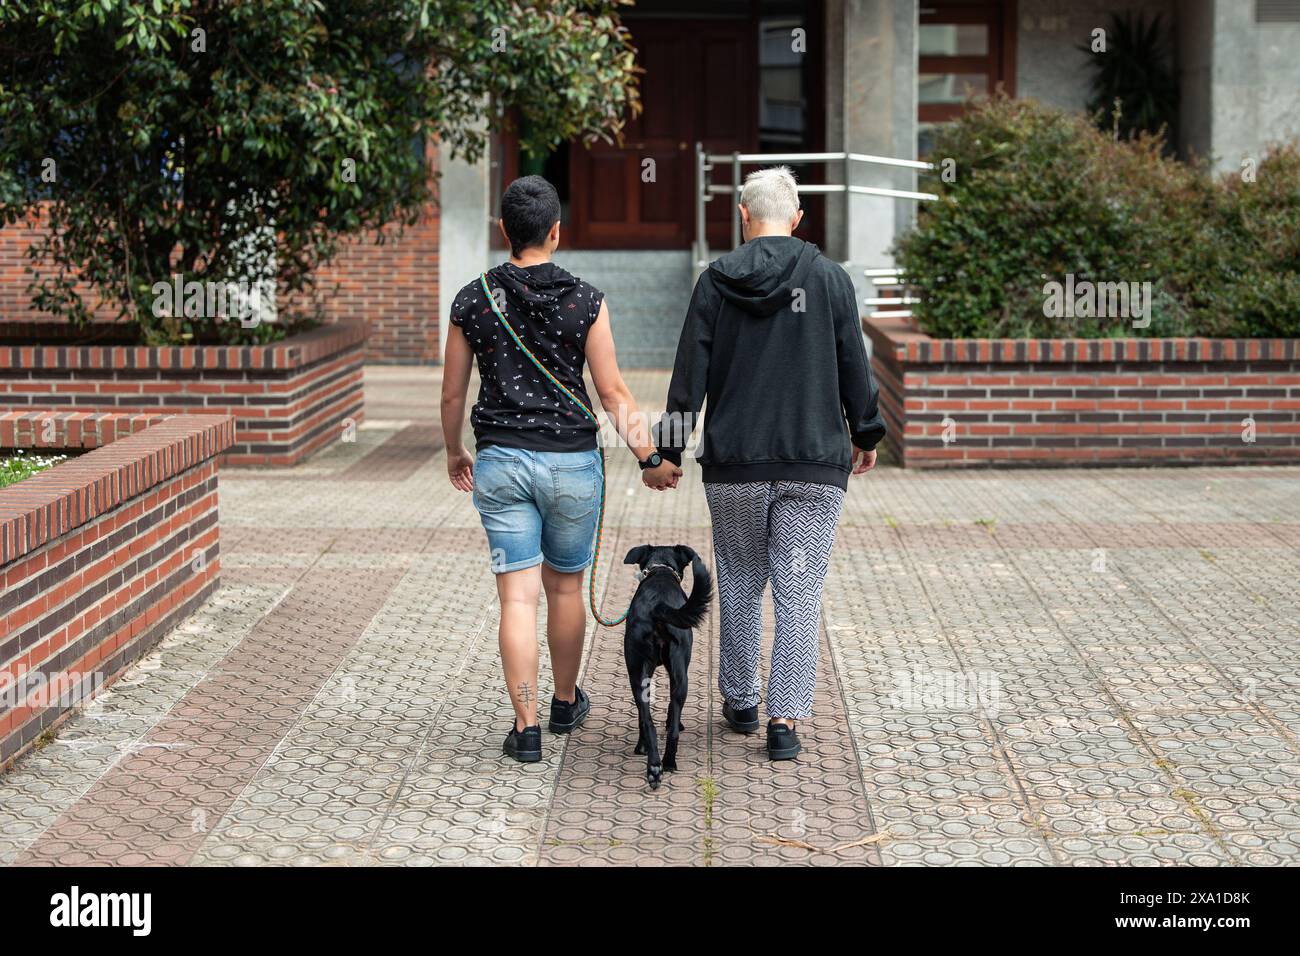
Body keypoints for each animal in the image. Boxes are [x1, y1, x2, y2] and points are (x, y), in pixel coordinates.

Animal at [618, 546, 712, 790]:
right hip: (675, 673)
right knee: (664, 724)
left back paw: (656, 766)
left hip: (640, 675)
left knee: (648, 721)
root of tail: (658, 607)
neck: (660, 571)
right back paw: (664, 762)